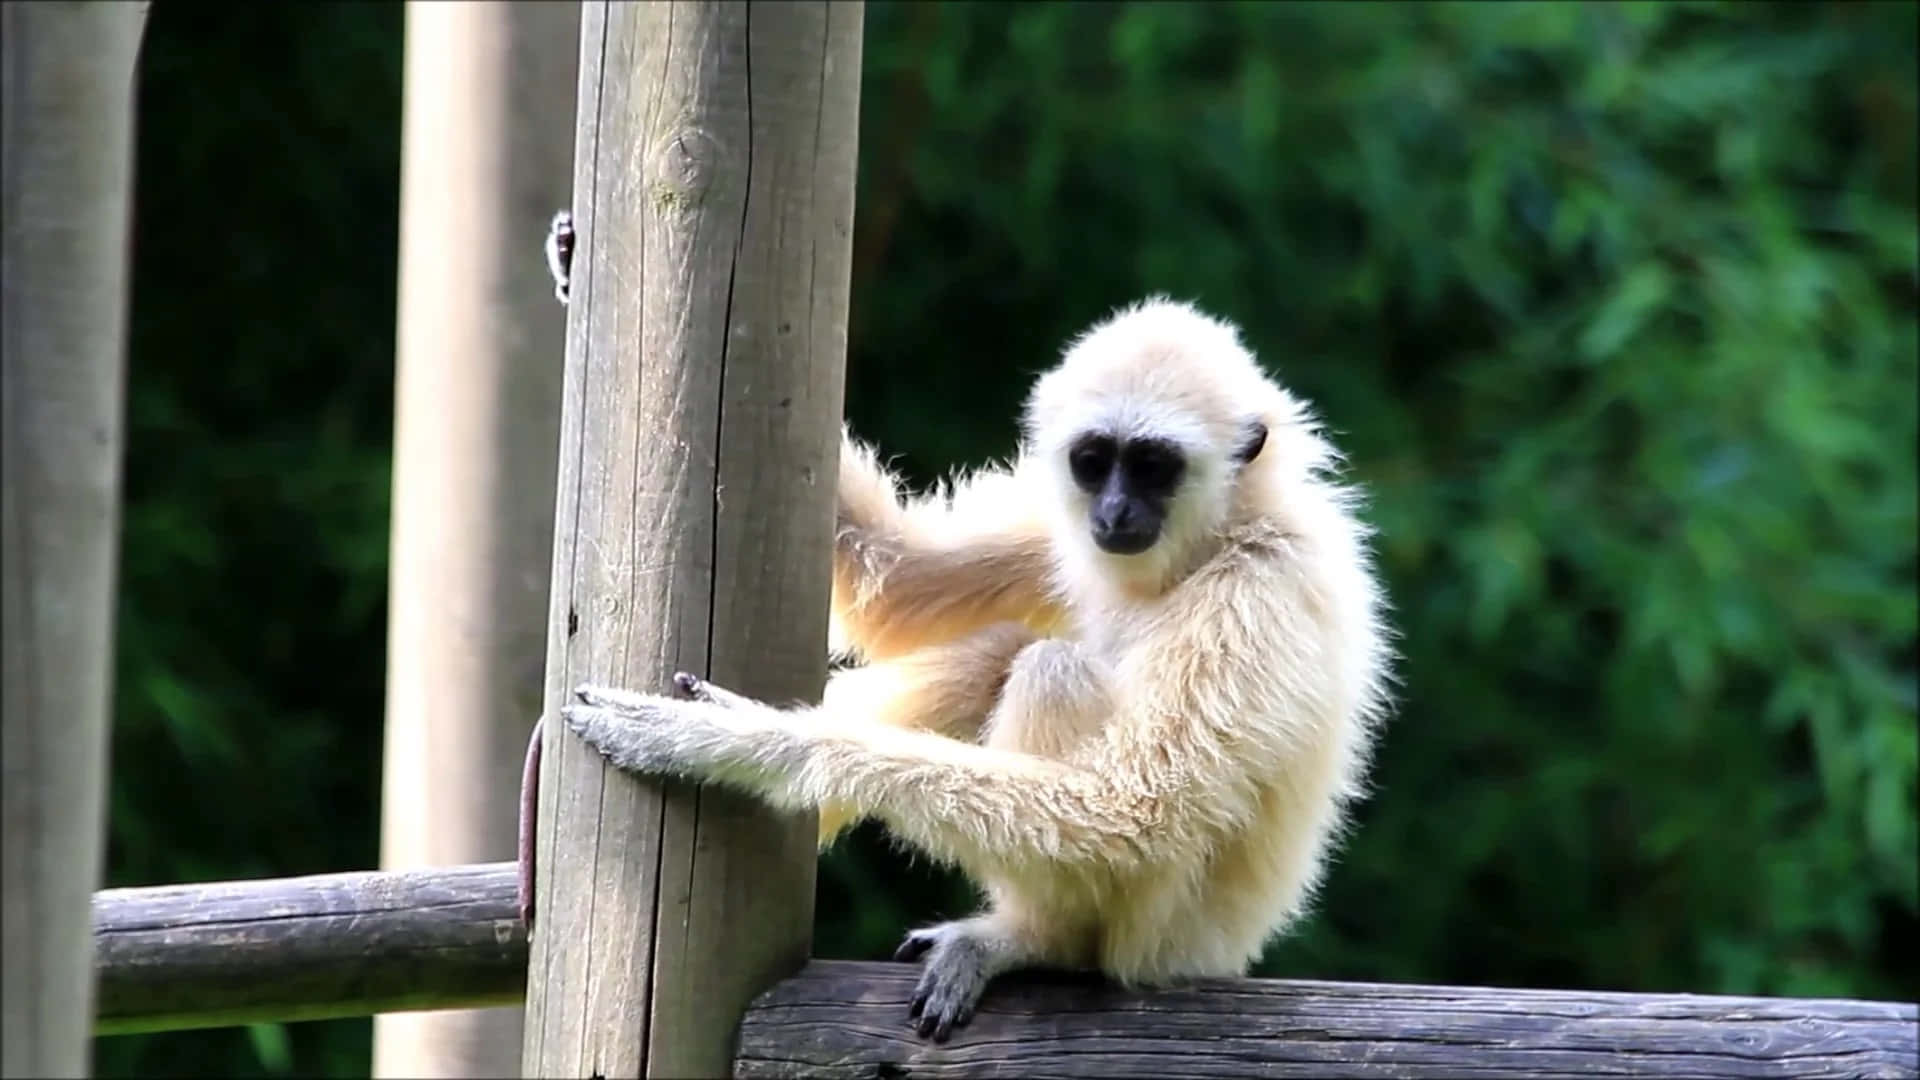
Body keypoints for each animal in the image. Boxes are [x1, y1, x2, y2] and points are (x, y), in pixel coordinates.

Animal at [560, 296, 1395, 1041]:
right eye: (1094, 461)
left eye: (1155, 466)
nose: (1116, 511)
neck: (1217, 536)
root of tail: (1227, 953)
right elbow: (903, 580)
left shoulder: (1258, 594)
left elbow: (1136, 814)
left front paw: (730, 741)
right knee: (997, 650)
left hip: (1167, 938)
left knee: (1053, 670)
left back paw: (1033, 939)